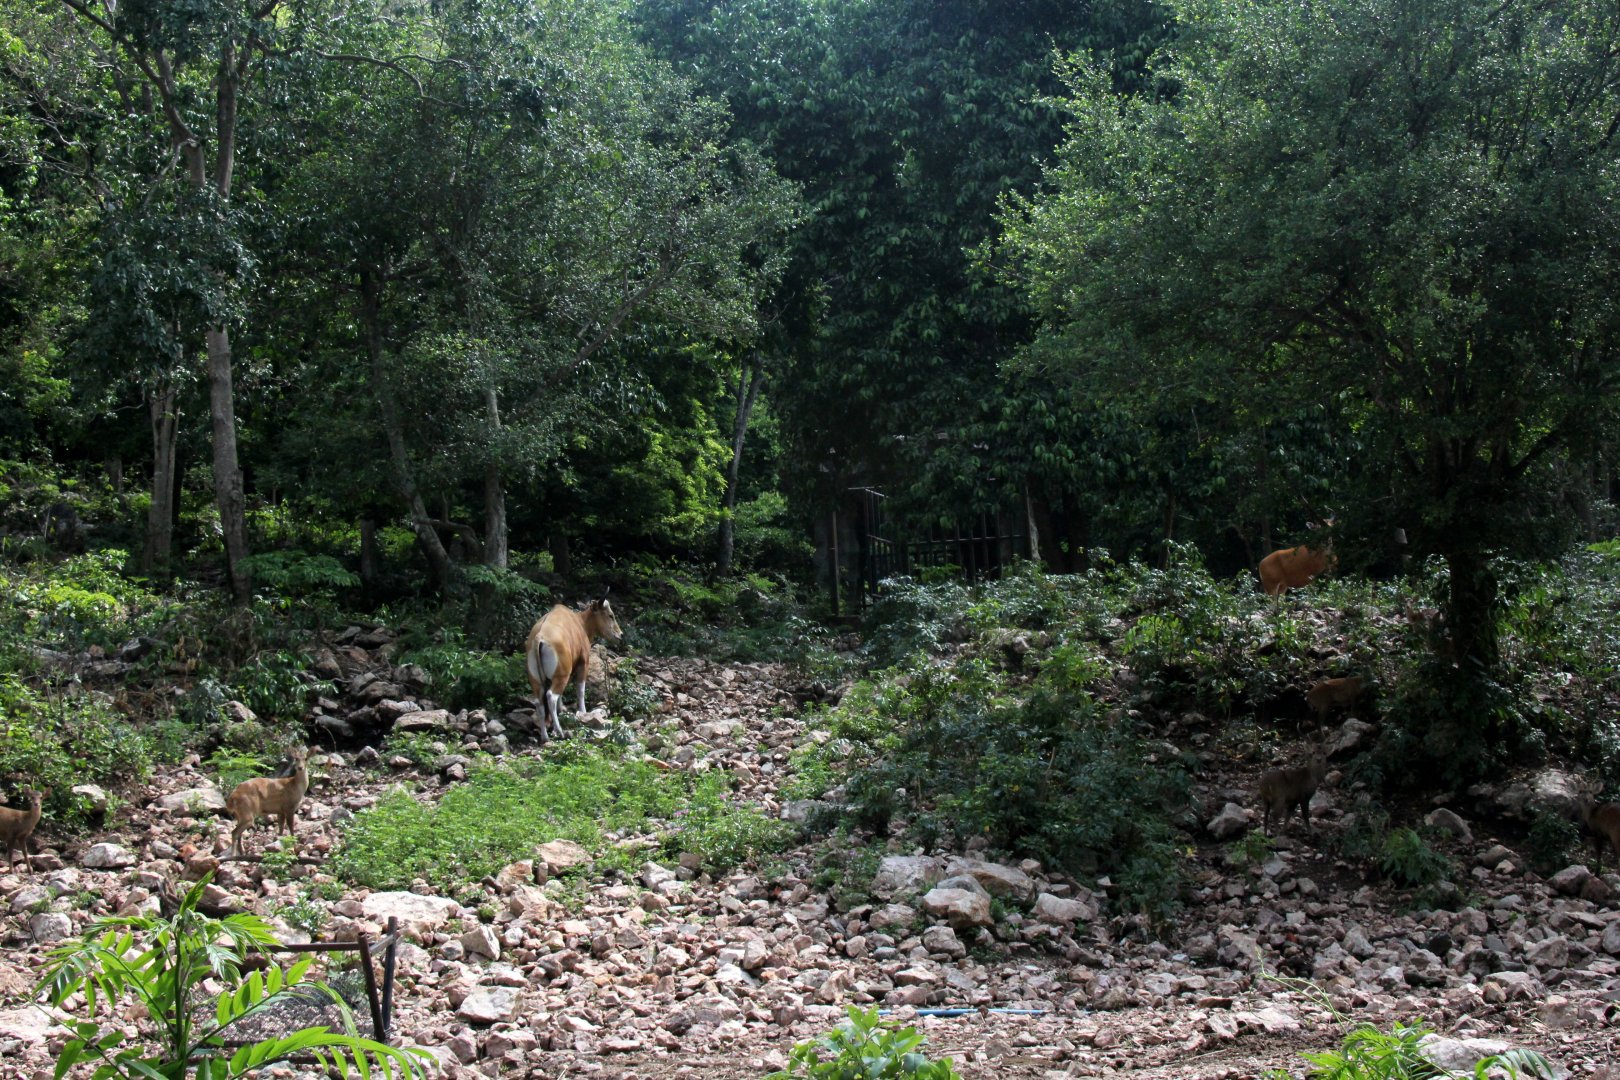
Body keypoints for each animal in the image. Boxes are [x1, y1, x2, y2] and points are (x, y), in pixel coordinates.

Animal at [524, 594, 624, 742]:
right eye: (610, 615)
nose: (620, 635)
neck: (579, 622)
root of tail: (539, 638)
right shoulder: (584, 663)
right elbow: (580, 689)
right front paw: (583, 712)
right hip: (562, 675)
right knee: (551, 696)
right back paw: (559, 731)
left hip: (537, 680)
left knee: (539, 702)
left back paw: (545, 736)